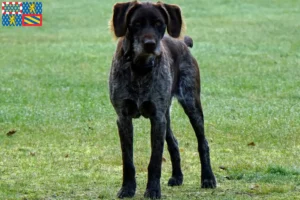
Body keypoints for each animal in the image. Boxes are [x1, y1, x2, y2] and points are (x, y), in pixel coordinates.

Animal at [109, 1, 217, 198]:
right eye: (136, 23)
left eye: (159, 23)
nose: (150, 44)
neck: (140, 68)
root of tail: (183, 43)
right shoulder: (124, 118)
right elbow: (127, 160)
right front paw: (127, 188)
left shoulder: (157, 118)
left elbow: (155, 160)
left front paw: (152, 190)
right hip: (166, 115)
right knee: (173, 143)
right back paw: (177, 176)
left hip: (191, 104)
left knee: (203, 143)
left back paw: (208, 178)